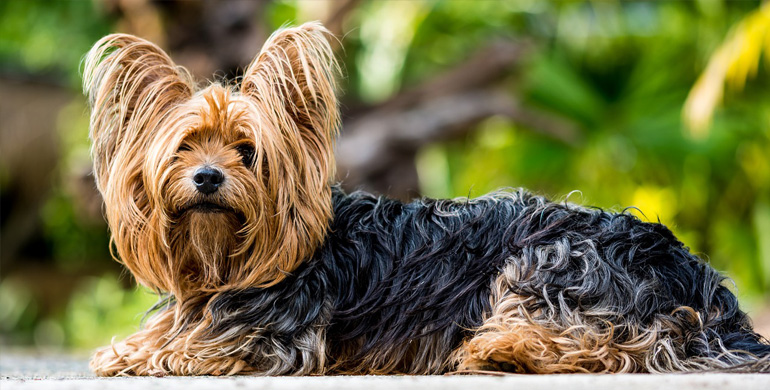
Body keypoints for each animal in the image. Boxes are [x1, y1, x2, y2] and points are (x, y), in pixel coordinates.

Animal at [84, 22, 768, 376]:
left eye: (248, 152)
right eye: (183, 148)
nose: (206, 178)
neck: (224, 259)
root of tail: (702, 281)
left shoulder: (277, 337)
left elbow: (190, 349)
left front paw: (144, 354)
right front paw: (132, 346)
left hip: (556, 258)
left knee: (617, 344)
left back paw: (501, 349)